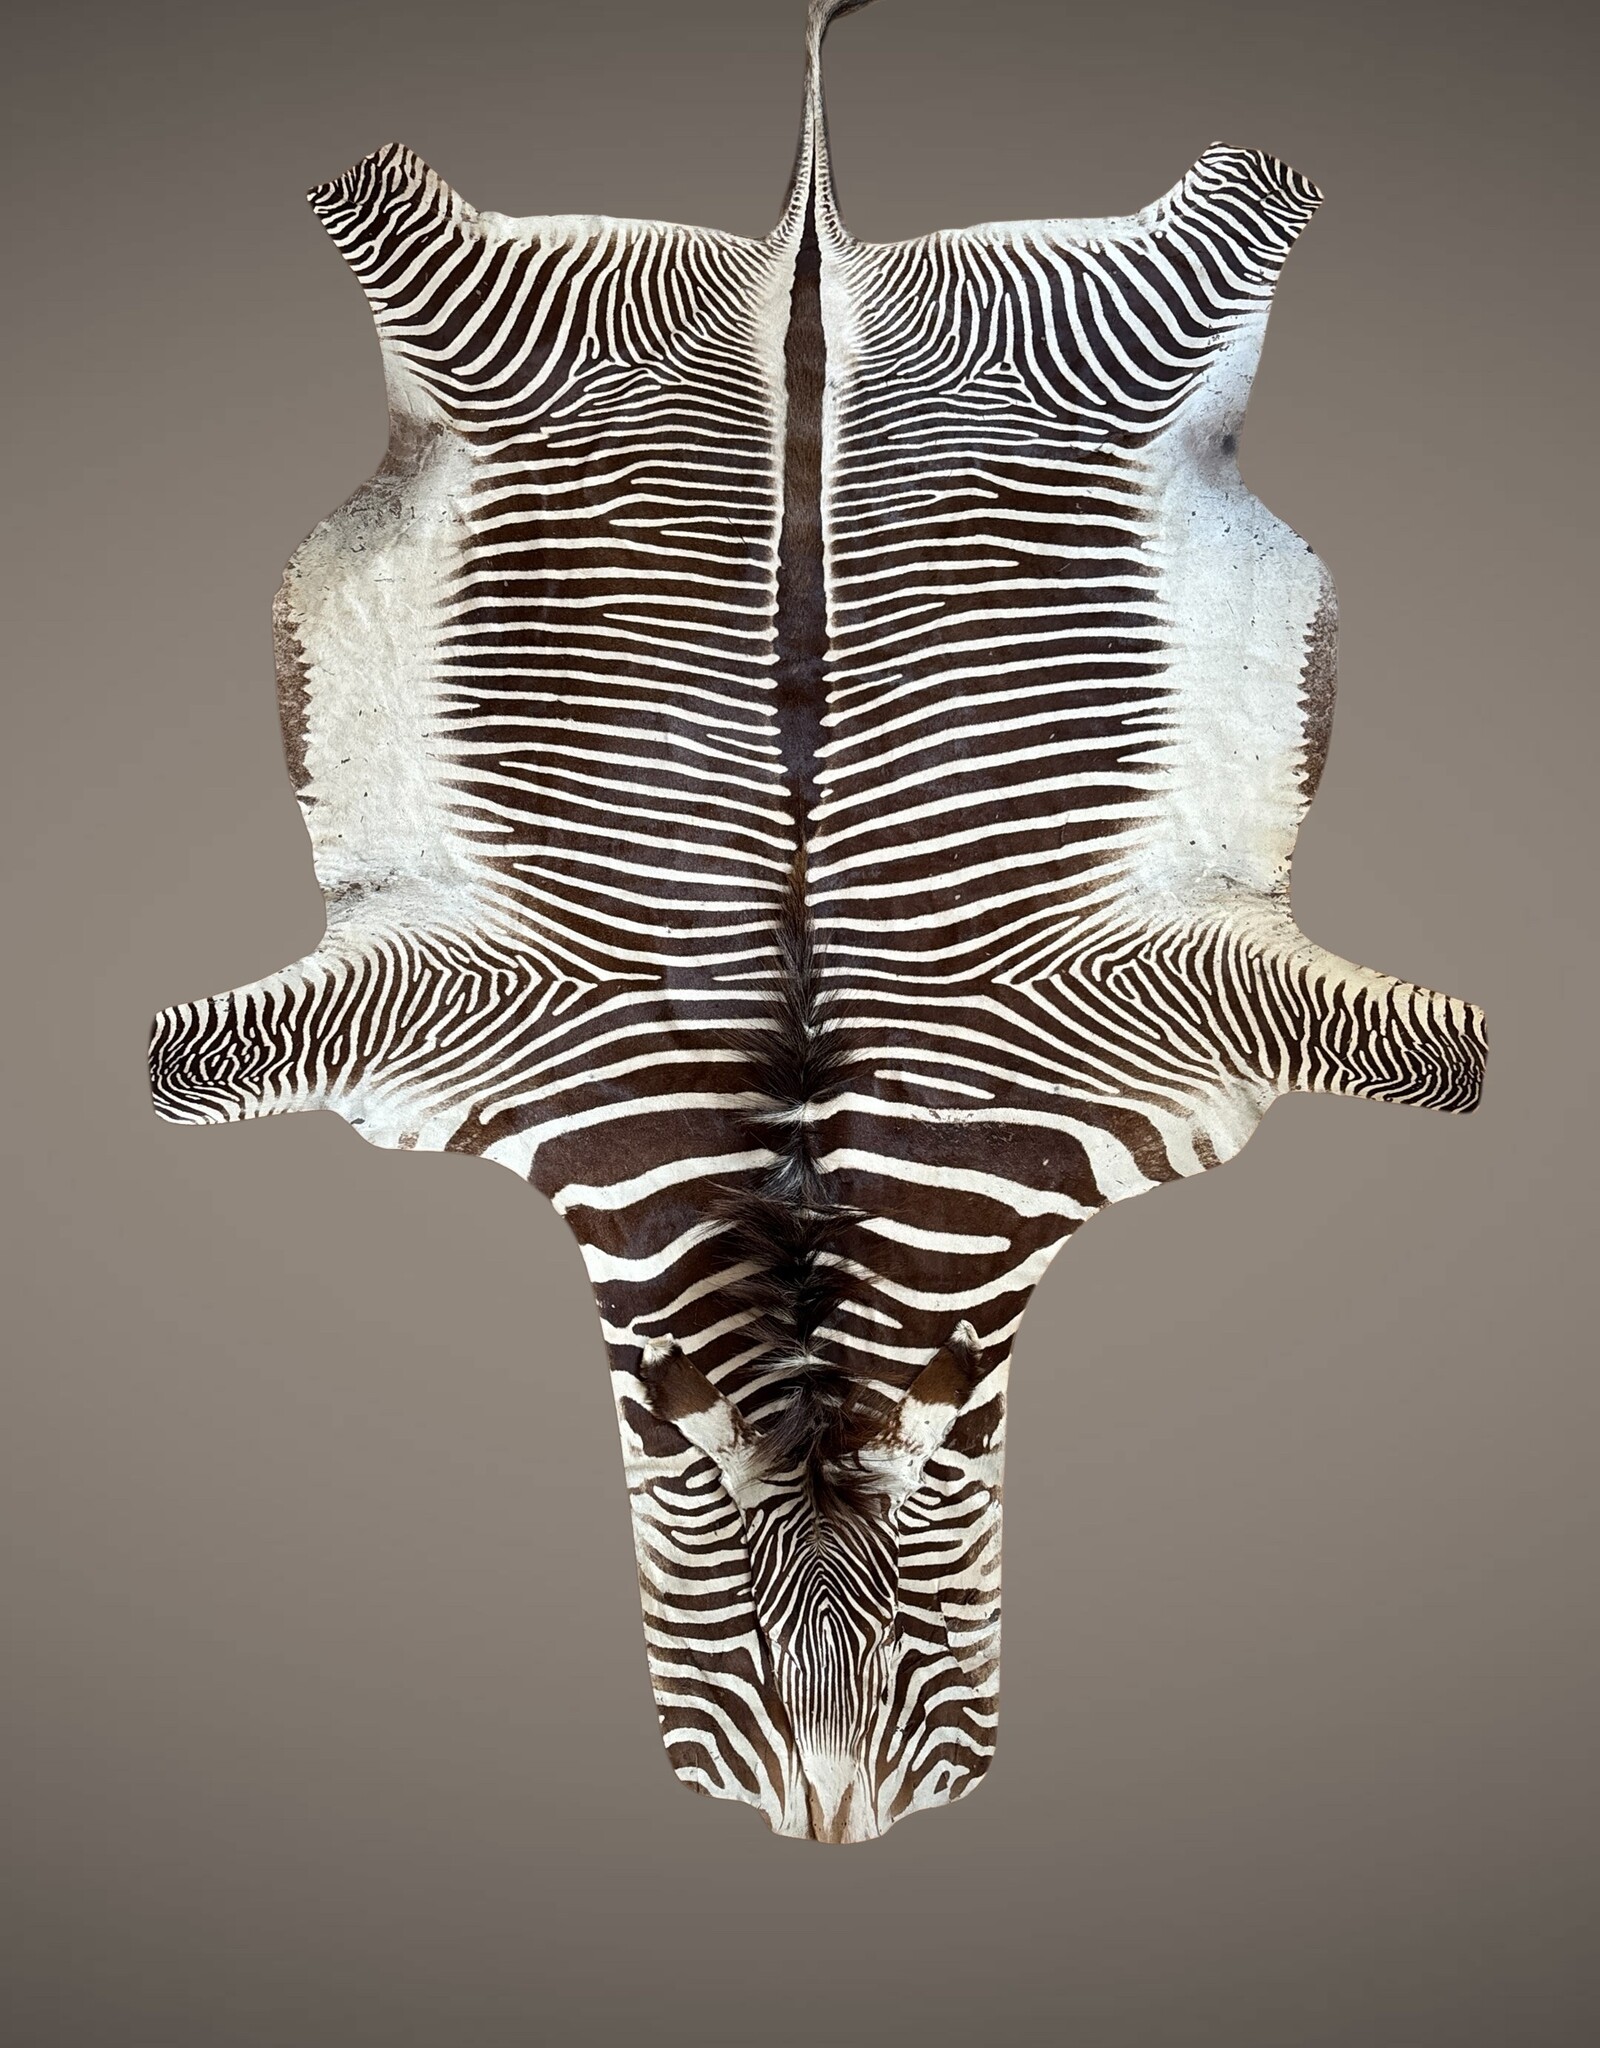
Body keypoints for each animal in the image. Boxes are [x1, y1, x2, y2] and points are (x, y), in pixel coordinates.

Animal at [148, 0, 1486, 1842]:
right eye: (678, 1490)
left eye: (958, 1478)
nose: (834, 1819)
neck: (796, 1136)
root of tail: (809, 258)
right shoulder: (434, 1004)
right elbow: (182, 1060)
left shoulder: (1182, 998)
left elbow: (1448, 1056)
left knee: (1258, 182)